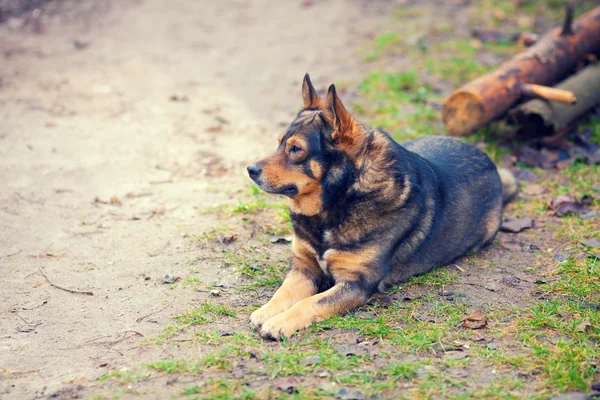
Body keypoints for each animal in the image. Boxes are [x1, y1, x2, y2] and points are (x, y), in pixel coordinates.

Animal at [246, 73, 516, 340]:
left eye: (296, 149)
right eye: (279, 143)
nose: (250, 170)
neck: (340, 199)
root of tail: (487, 160)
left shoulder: (356, 284)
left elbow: (310, 302)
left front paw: (280, 322)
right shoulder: (303, 268)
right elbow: (284, 291)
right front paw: (266, 311)